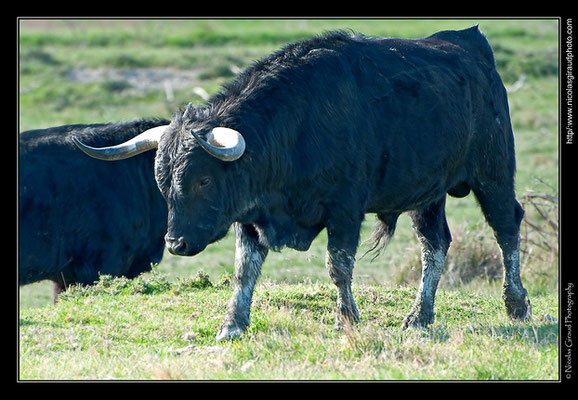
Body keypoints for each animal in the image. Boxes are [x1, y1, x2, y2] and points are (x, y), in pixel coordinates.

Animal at [75, 27, 532, 340]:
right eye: (163, 181)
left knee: (507, 227)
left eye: (203, 179)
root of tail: (469, 43)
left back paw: (516, 304)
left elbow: (338, 267)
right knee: (434, 246)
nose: (176, 244)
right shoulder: (250, 217)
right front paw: (231, 326)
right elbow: (243, 272)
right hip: (428, 195)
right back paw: (420, 317)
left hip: (493, 174)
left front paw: (346, 320)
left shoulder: (345, 211)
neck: (295, 126)